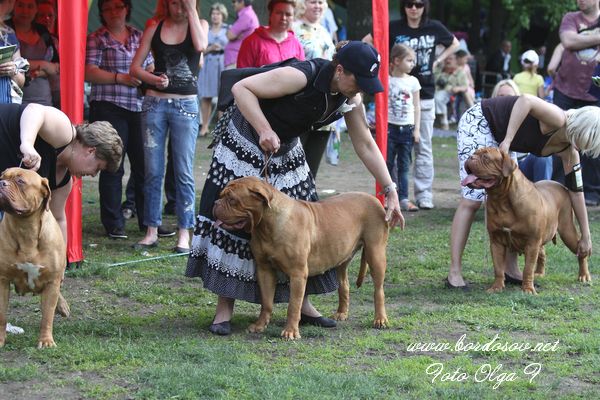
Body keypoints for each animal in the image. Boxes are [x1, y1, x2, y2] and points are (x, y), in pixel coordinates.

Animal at [0, 167, 67, 348]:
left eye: (20, 181)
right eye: (1, 177)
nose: (1, 183)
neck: (25, 228)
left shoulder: (51, 281)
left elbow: (47, 316)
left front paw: (46, 341)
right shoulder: (2, 281)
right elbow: (2, 315)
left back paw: (62, 307)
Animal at [213, 176, 390, 339]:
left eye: (232, 200)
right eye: (221, 195)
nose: (215, 203)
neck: (267, 225)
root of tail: (373, 198)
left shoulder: (297, 274)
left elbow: (294, 305)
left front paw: (290, 331)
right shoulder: (264, 270)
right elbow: (267, 303)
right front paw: (259, 325)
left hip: (376, 254)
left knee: (379, 290)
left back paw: (380, 319)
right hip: (342, 257)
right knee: (344, 285)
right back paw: (341, 313)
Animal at [462, 147, 591, 294]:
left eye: (486, 158)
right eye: (474, 153)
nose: (470, 157)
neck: (501, 199)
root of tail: (561, 185)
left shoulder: (532, 242)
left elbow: (528, 268)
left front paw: (528, 289)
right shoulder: (496, 241)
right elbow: (498, 267)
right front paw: (496, 287)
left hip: (567, 231)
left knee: (581, 252)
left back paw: (583, 275)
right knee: (542, 253)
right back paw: (539, 273)